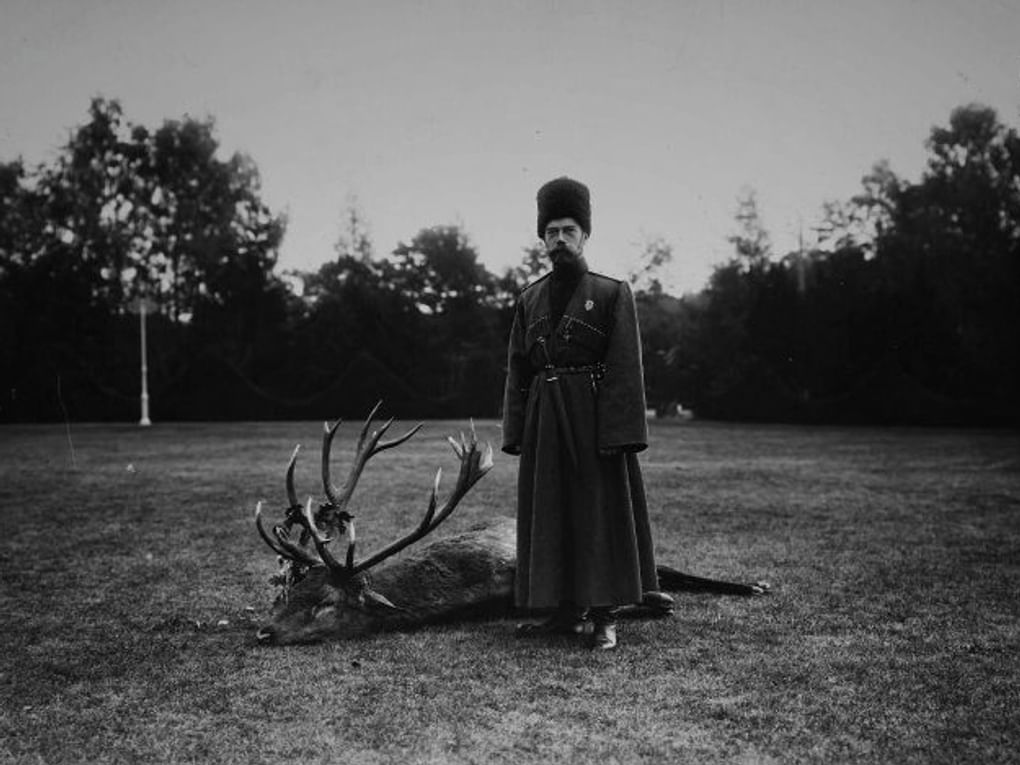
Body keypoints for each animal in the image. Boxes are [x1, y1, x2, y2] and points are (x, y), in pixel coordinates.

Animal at [252, 408, 767, 648]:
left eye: (323, 603)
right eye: (288, 593)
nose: (264, 632)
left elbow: (654, 595)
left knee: (667, 572)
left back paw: (753, 584)